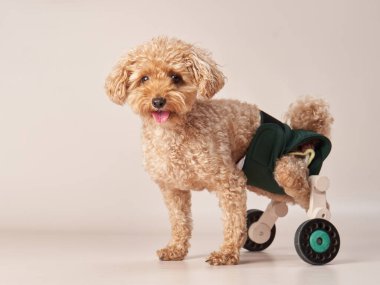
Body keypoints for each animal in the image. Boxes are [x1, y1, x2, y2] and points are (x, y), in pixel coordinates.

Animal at [104, 36, 332, 266]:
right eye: (144, 78)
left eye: (175, 77)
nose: (158, 101)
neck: (173, 131)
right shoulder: (172, 188)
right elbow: (179, 220)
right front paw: (176, 249)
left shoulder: (229, 180)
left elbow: (233, 220)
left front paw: (227, 253)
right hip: (267, 184)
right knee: (280, 205)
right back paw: (261, 228)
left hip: (289, 170)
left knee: (316, 201)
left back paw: (320, 230)